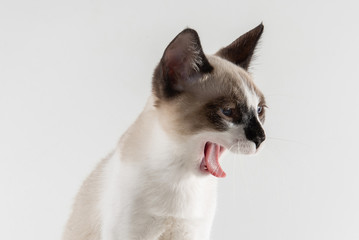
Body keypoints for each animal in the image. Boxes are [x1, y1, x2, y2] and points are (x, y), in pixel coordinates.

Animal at [62, 23, 268, 240]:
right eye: (228, 112)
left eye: (259, 110)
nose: (261, 138)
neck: (182, 178)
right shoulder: (129, 234)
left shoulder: (192, 233)